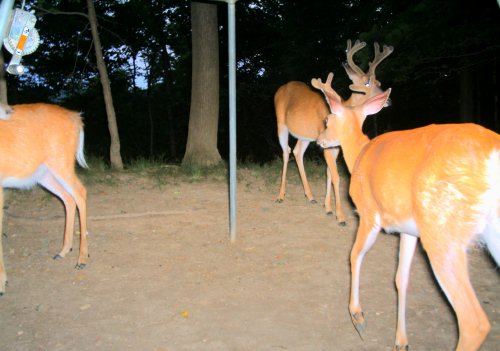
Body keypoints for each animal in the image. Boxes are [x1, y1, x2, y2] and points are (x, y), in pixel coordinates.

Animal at [0, 103, 89, 296]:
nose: (8, 110)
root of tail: (76, 118)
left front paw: (2, 284)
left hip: (60, 162)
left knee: (80, 192)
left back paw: (81, 260)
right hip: (43, 173)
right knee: (67, 198)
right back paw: (63, 251)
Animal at [274, 39, 394, 226]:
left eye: (379, 83)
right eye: (367, 83)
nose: (388, 101)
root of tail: (281, 88)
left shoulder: (335, 145)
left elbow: (329, 173)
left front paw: (328, 208)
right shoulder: (326, 143)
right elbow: (337, 176)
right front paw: (340, 216)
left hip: (305, 135)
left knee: (297, 152)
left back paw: (310, 196)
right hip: (281, 123)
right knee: (286, 152)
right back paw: (281, 195)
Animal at [312, 75, 500, 351]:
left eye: (327, 119)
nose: (319, 140)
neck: (359, 155)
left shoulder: (369, 213)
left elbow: (354, 255)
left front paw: (358, 317)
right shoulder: (408, 229)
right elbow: (401, 278)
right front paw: (401, 341)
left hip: (443, 231)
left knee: (474, 322)